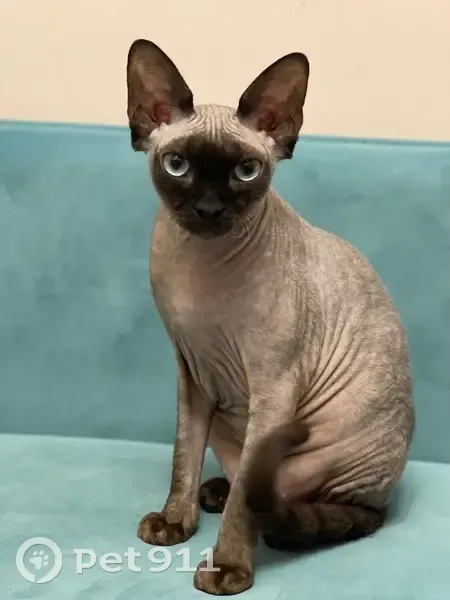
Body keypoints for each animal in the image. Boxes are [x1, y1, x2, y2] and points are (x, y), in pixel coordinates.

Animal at [126, 39, 415, 595]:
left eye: (245, 171)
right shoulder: (192, 372)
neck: (200, 271)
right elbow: (183, 455)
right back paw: (214, 492)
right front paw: (175, 521)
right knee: (243, 478)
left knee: (313, 506)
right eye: (177, 165)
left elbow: (244, 503)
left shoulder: (273, 386)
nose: (209, 209)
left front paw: (228, 568)